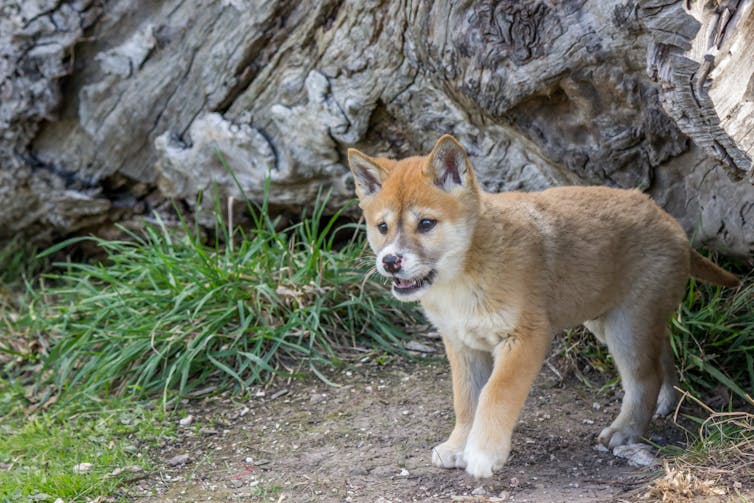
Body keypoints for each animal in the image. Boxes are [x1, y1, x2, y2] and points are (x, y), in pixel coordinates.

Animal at [350, 135, 736, 480]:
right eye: (382, 227)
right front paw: (458, 446)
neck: (465, 274)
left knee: (644, 377)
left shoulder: (525, 338)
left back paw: (625, 431)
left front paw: (483, 453)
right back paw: (666, 401)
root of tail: (673, 224)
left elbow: (495, 395)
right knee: (663, 352)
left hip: (626, 326)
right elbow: (466, 401)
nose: (390, 262)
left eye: (426, 224)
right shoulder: (462, 346)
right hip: (613, 319)